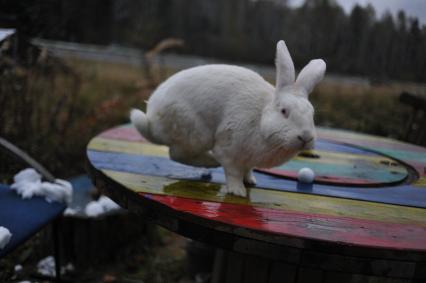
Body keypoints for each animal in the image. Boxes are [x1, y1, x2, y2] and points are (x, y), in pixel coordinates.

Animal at [131, 40, 324, 197]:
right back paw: (211, 162)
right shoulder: (230, 149)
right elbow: (233, 172)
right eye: (284, 111)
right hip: (195, 133)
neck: (260, 120)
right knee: (177, 154)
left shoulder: (248, 159)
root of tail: (152, 120)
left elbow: (247, 169)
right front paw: (237, 191)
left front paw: (250, 181)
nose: (306, 137)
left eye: (312, 113)